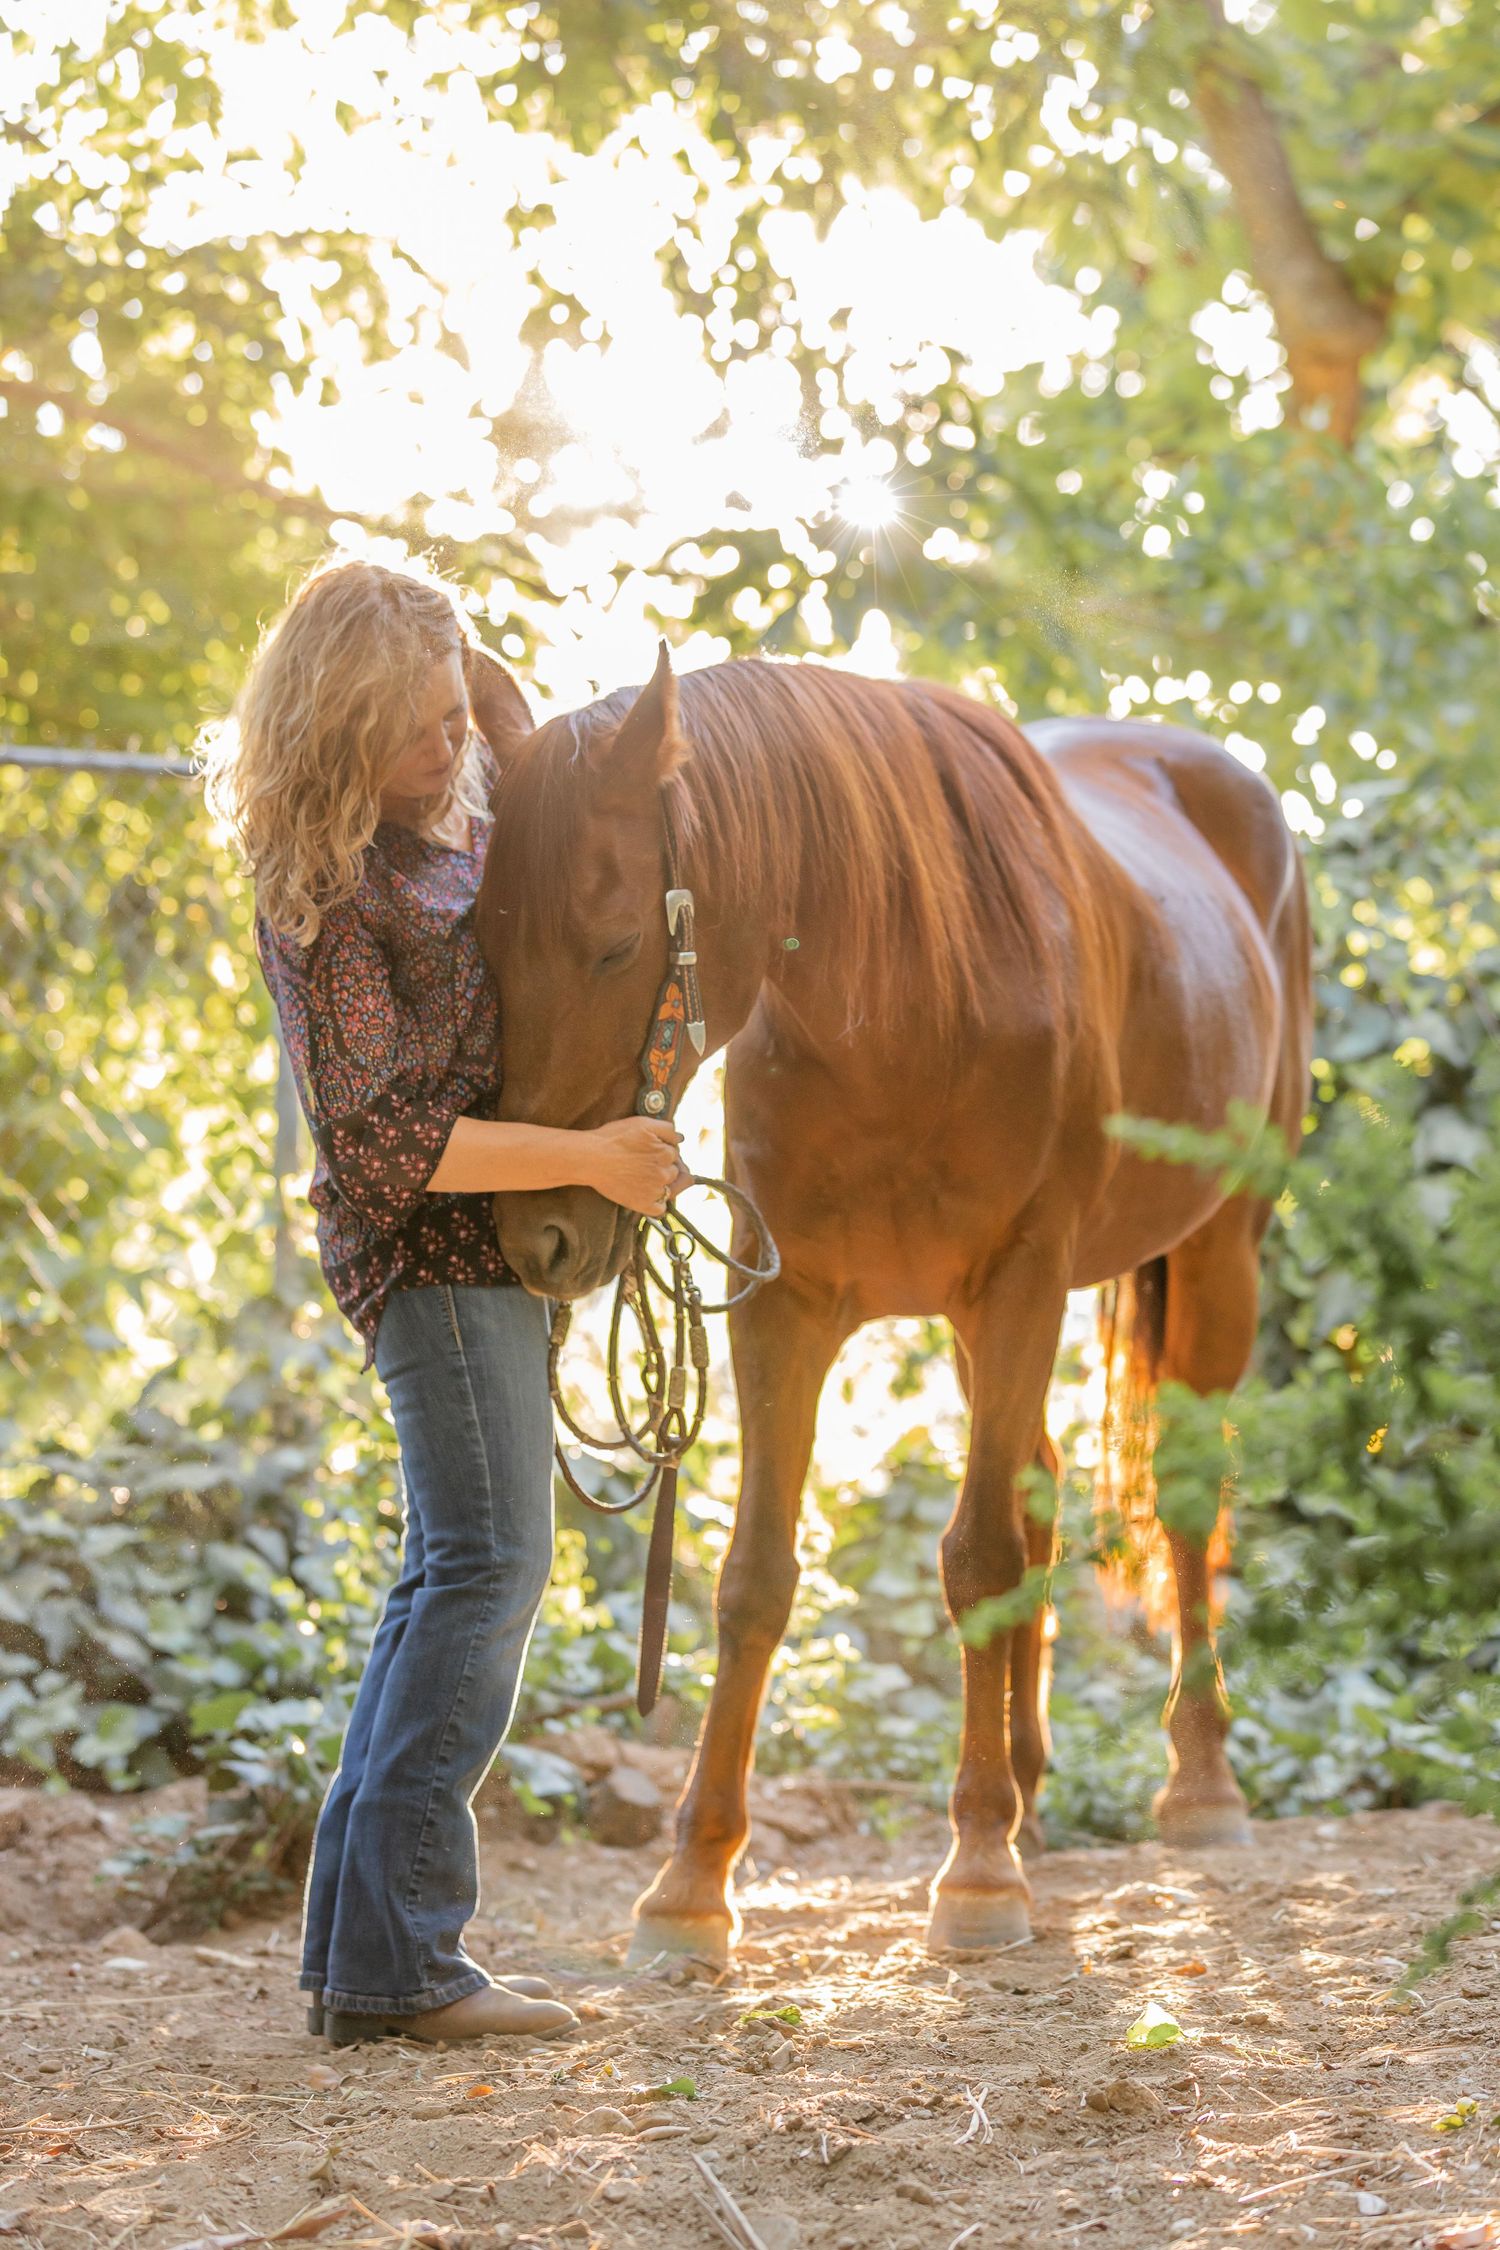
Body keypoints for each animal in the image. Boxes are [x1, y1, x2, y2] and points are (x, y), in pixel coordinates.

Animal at [472, 648, 1311, 1962]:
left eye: (612, 946)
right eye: (479, 947)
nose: (535, 1237)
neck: (908, 999)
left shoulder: (1020, 1283)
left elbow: (976, 1557)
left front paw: (976, 1871)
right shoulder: (789, 1308)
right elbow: (757, 1578)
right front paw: (690, 1883)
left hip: (1218, 1255)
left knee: (1177, 1502)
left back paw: (1198, 1786)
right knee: (1045, 1492)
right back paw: (1028, 1786)